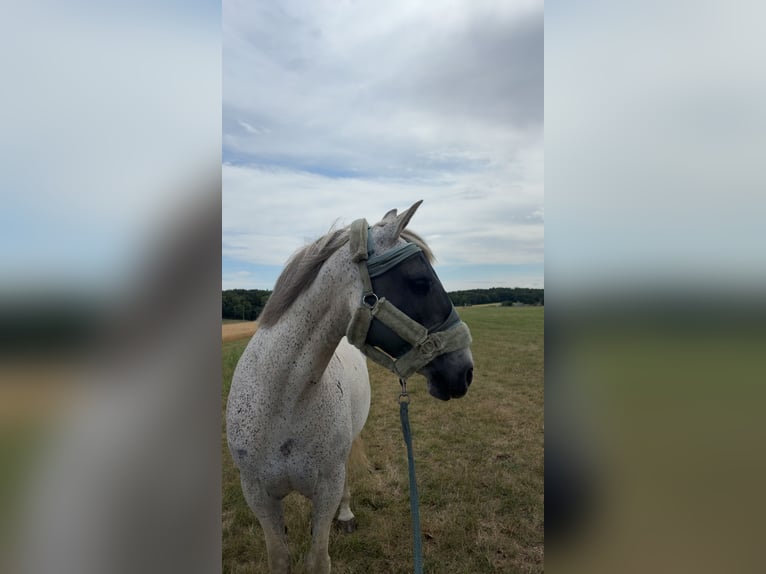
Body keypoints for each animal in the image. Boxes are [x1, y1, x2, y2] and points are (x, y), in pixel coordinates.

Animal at [226, 201, 474, 573]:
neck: (283, 403)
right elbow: (280, 558)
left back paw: (345, 516)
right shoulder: (258, 495)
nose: (465, 372)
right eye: (419, 282)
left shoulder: (326, 488)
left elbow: (318, 559)